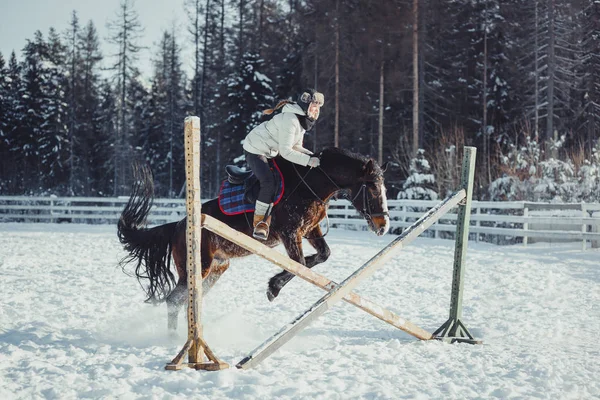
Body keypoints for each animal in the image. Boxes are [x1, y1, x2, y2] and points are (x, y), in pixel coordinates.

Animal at [118, 147, 390, 332]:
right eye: (373, 187)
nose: (383, 226)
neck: (310, 185)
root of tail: (177, 226)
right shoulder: (290, 232)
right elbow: (299, 263)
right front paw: (273, 288)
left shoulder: (310, 229)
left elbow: (321, 256)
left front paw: (277, 284)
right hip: (196, 268)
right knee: (173, 301)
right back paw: (175, 340)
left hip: (215, 269)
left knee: (188, 301)